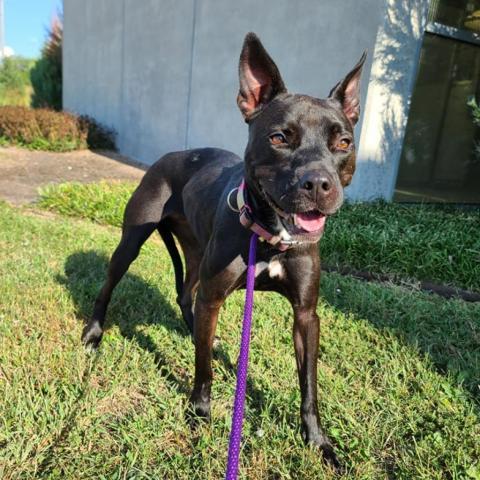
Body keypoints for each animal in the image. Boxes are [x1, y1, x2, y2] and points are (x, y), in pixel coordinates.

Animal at [82, 31, 366, 466]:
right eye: (280, 138)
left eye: (344, 142)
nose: (318, 184)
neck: (270, 237)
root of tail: (173, 154)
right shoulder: (216, 295)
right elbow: (202, 369)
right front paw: (200, 411)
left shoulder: (306, 315)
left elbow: (309, 386)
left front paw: (319, 442)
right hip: (131, 242)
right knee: (111, 284)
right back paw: (95, 332)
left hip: (197, 253)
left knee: (186, 294)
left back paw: (196, 331)